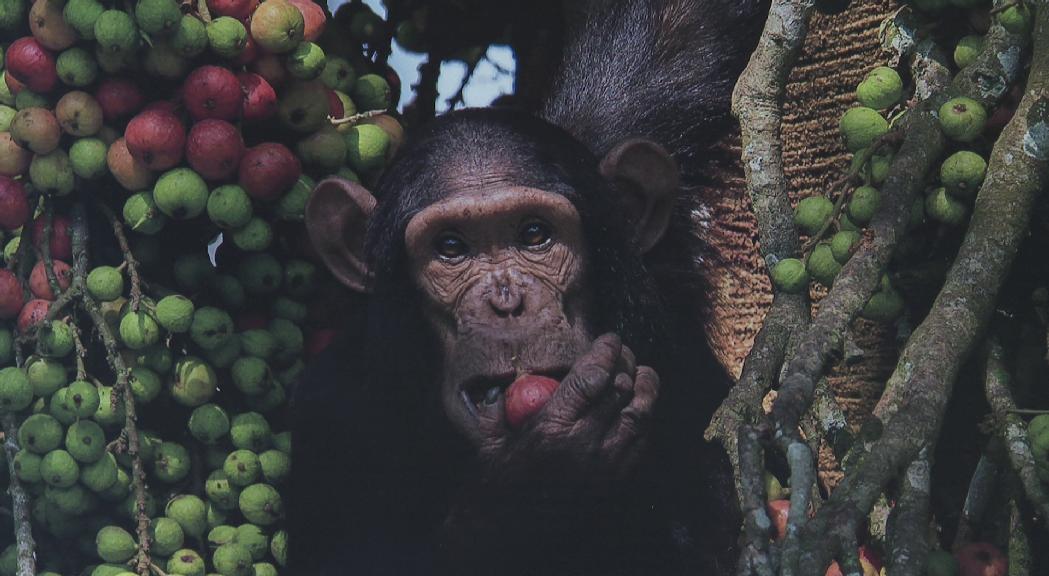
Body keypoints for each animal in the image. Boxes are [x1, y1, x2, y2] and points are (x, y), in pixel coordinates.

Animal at [291, 0, 767, 570]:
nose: (507, 301)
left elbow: (679, 30)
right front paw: (538, 480)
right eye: (451, 247)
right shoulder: (329, 421)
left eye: (535, 234)